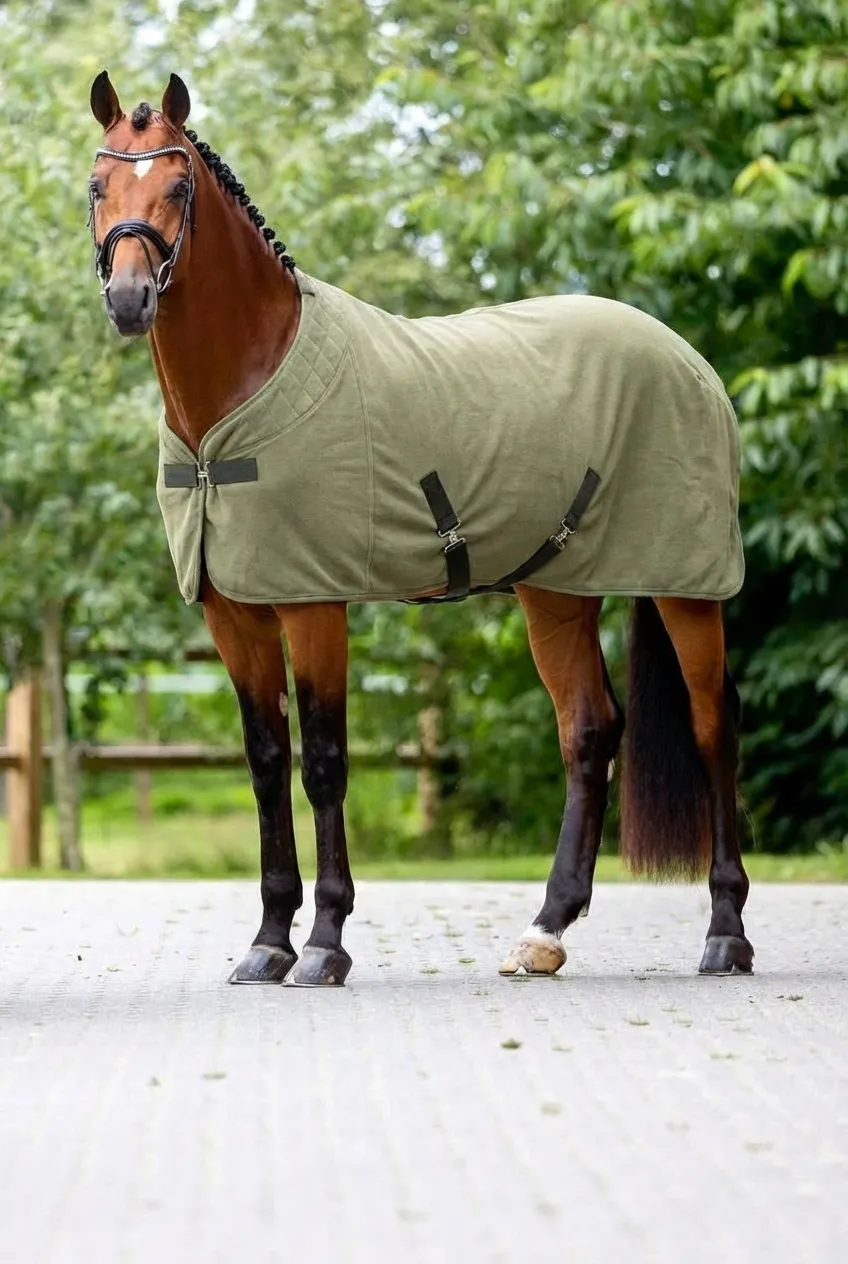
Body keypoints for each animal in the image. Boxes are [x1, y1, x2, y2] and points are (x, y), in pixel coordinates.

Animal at [87, 72, 753, 986]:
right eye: (97, 185)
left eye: (180, 187)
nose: (129, 300)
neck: (237, 402)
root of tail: (685, 357)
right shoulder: (234, 615)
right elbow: (266, 762)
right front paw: (268, 941)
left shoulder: (313, 604)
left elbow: (324, 763)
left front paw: (324, 943)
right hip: (556, 591)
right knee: (588, 730)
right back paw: (545, 931)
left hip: (686, 584)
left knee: (712, 723)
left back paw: (725, 933)